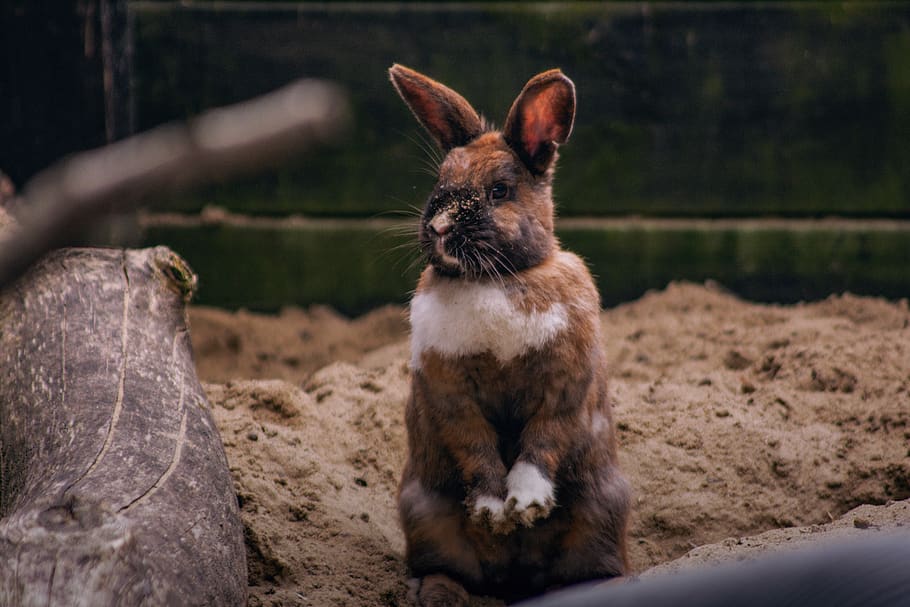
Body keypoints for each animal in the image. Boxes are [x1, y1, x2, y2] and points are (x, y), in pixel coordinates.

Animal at [389, 64, 631, 606]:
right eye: (441, 181)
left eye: (499, 190)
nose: (439, 227)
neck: (493, 279)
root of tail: (516, 578)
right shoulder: (449, 392)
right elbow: (475, 447)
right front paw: (494, 512)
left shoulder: (565, 384)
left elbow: (543, 440)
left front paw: (527, 504)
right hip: (424, 514)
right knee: (446, 569)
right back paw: (436, 592)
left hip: (603, 511)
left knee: (592, 568)